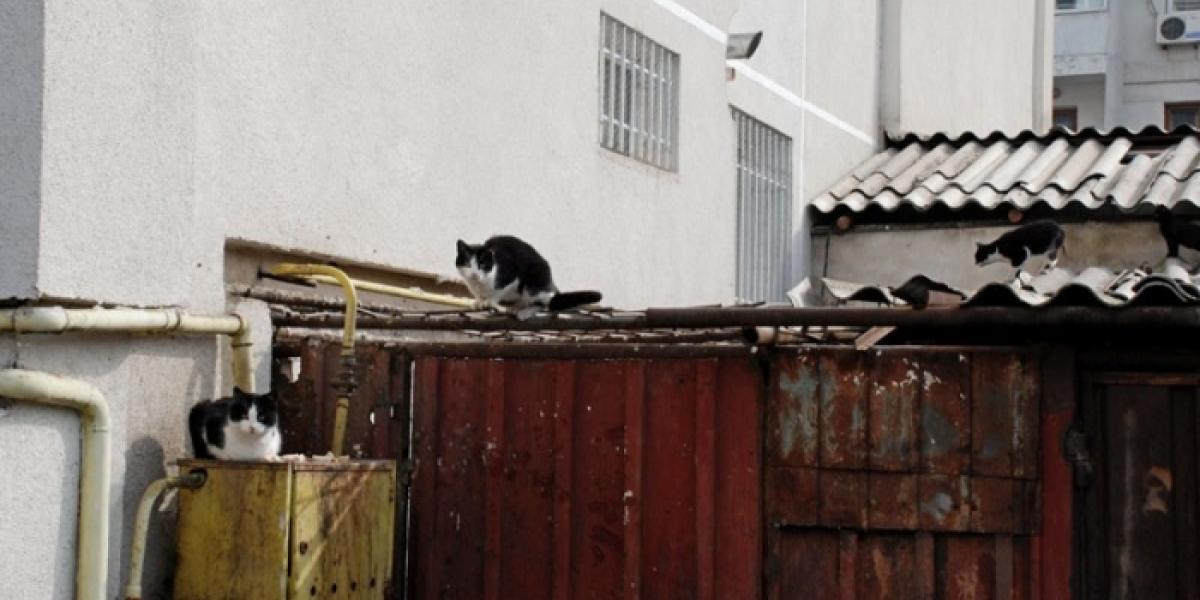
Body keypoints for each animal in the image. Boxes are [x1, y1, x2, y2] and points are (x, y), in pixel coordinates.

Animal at [456, 235, 602, 320]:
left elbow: (498, 292)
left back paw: (523, 311)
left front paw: (490, 301)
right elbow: (478, 295)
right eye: (467, 264)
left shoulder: (511, 275)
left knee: (543, 303)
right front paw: (478, 302)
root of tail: (552, 284)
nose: (474, 274)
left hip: (534, 279)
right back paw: (515, 307)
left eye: (482, 264)